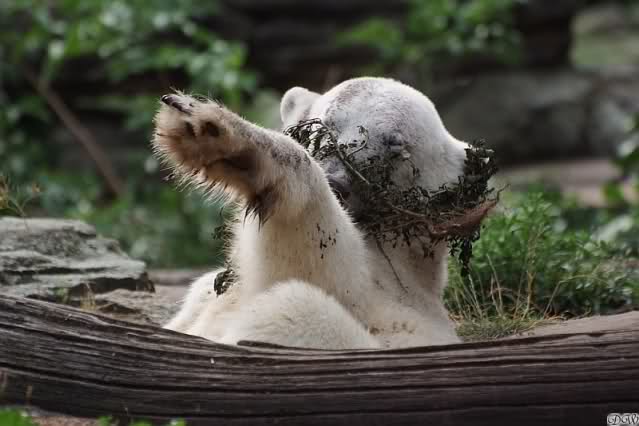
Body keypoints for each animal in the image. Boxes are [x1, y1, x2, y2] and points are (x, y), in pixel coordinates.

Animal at [152, 77, 470, 349]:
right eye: (325, 125)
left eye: (396, 145)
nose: (338, 182)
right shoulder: (204, 295)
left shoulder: (393, 286)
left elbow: (323, 264)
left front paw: (215, 129)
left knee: (294, 305)